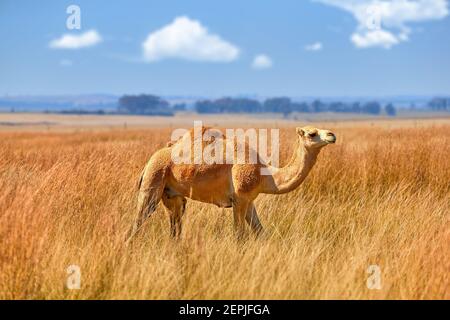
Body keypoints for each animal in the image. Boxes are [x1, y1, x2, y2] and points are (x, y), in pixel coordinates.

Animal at [128, 125, 336, 240]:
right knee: (137, 222)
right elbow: (239, 235)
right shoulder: (240, 198)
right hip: (153, 181)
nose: (332, 135)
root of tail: (149, 161)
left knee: (175, 227)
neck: (266, 176)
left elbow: (260, 232)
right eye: (311, 133)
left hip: (172, 196)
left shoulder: (249, 201)